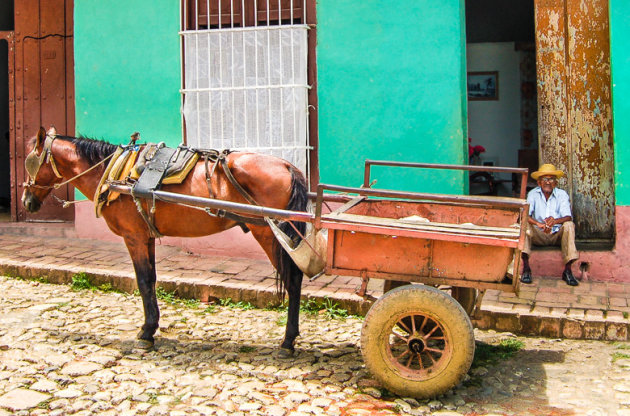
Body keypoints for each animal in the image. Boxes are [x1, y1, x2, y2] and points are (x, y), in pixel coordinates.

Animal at [23, 127, 310, 354]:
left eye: (29, 161)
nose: (27, 201)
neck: (113, 172)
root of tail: (288, 167)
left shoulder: (134, 237)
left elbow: (142, 281)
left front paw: (146, 332)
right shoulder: (146, 236)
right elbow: (151, 280)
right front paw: (151, 328)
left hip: (270, 232)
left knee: (293, 280)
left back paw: (287, 341)